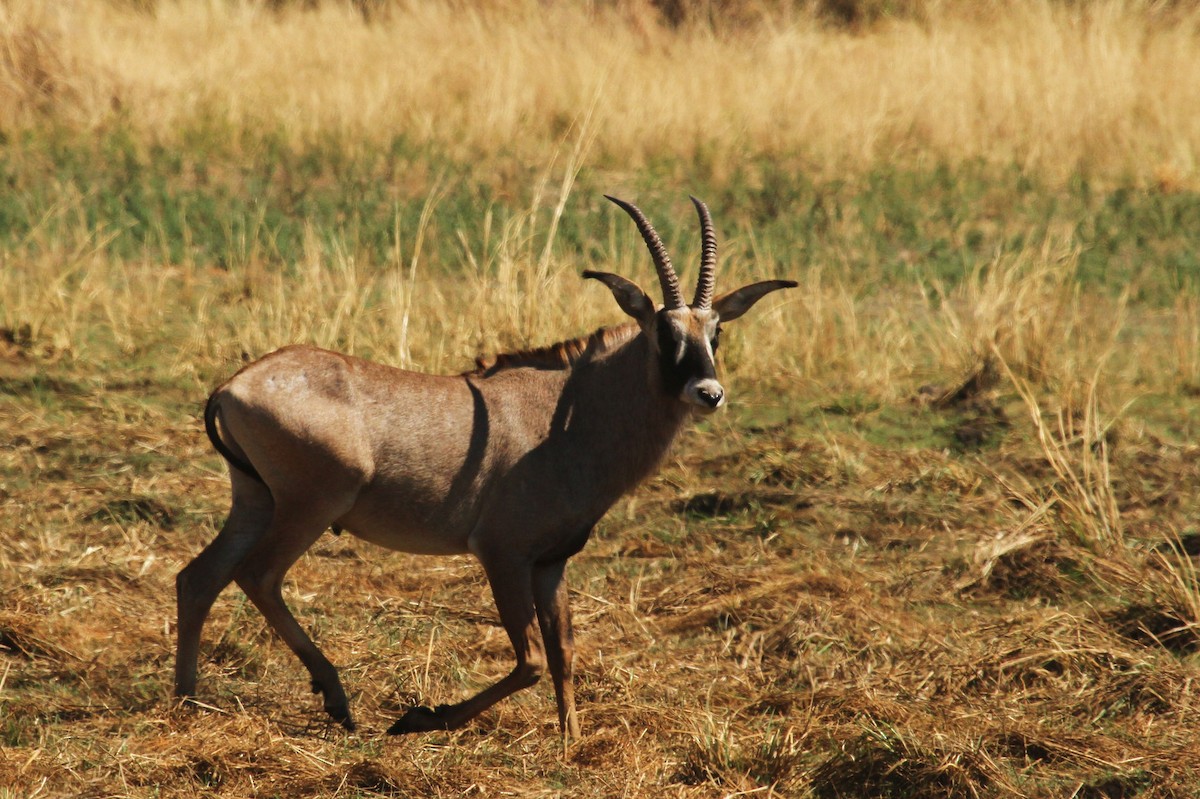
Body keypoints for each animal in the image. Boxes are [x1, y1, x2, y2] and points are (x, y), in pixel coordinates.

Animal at [174, 195, 796, 738]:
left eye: (715, 332)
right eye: (664, 333)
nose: (708, 393)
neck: (566, 414)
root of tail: (234, 385)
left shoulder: (551, 562)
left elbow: (563, 650)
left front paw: (571, 740)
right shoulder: (502, 554)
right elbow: (531, 660)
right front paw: (419, 718)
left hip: (256, 502)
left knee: (199, 577)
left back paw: (187, 698)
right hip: (309, 507)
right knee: (257, 575)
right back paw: (335, 699)